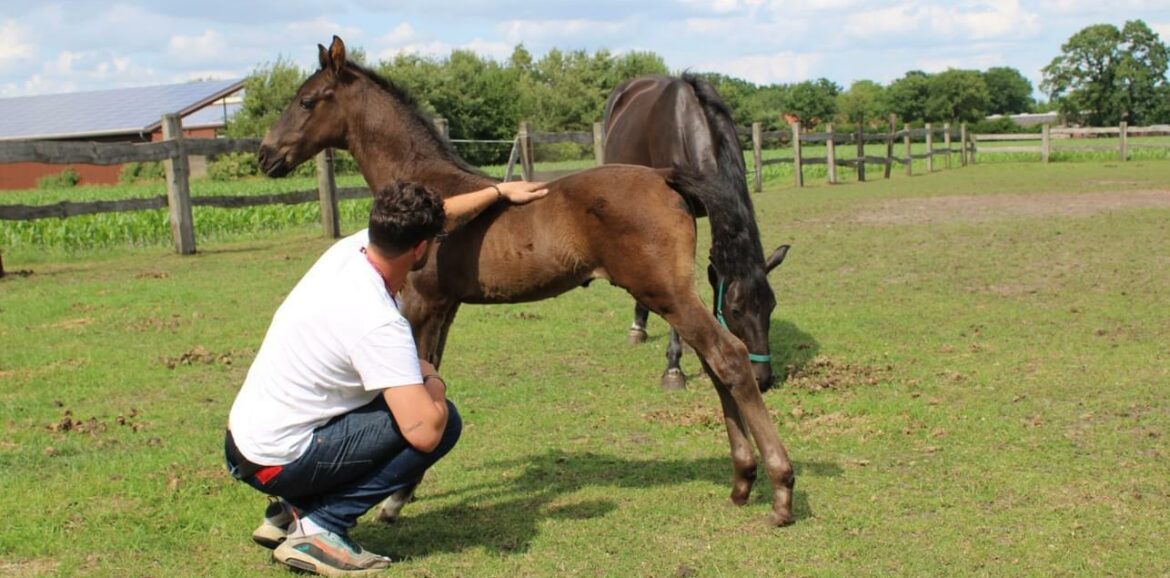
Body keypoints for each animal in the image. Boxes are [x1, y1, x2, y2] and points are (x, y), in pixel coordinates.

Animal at [608, 74, 790, 390]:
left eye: (772, 305)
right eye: (736, 310)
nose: (763, 379)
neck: (687, 126)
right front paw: (673, 368)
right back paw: (637, 326)